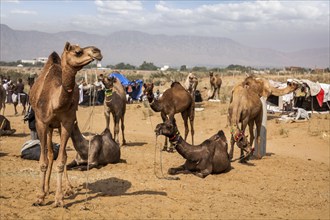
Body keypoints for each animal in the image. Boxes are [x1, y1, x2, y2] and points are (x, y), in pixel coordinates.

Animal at [29, 41, 102, 206]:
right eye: (78, 52)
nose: (97, 51)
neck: (55, 101)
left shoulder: (67, 123)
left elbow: (62, 159)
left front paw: (59, 198)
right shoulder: (41, 123)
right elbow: (43, 160)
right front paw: (40, 196)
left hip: (58, 126)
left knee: (61, 155)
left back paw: (67, 188)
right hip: (49, 127)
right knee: (50, 153)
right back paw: (46, 188)